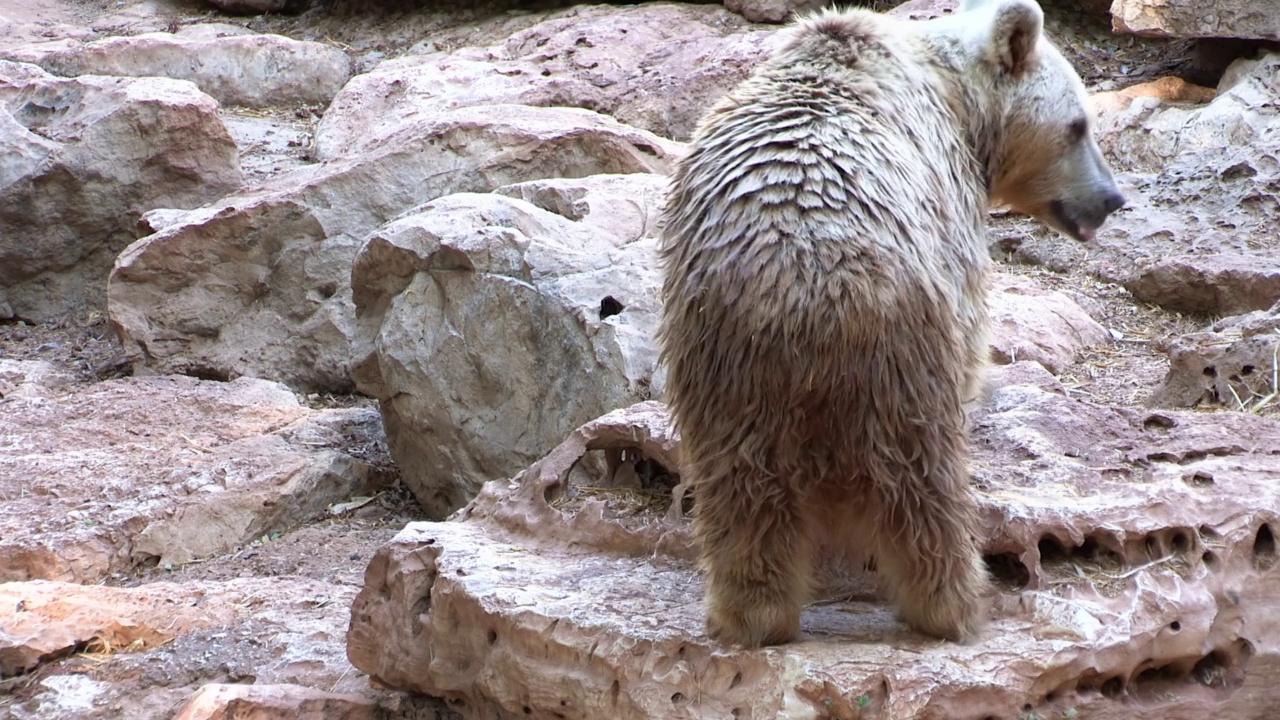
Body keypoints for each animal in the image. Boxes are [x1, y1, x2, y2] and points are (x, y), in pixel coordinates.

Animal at [660, 0, 1121, 645]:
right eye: (1079, 124)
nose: (1111, 199)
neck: (957, 101)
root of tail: (809, 292)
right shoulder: (952, 219)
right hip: (903, 350)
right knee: (925, 484)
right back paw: (957, 604)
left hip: (725, 365)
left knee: (742, 495)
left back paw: (750, 613)